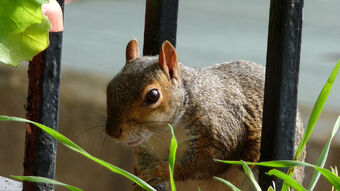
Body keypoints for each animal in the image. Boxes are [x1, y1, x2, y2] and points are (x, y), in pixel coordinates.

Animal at [104, 39, 306, 190]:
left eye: (153, 96)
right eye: (109, 87)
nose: (112, 132)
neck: (162, 132)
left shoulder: (219, 130)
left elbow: (205, 162)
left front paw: (161, 171)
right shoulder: (147, 148)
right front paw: (140, 177)